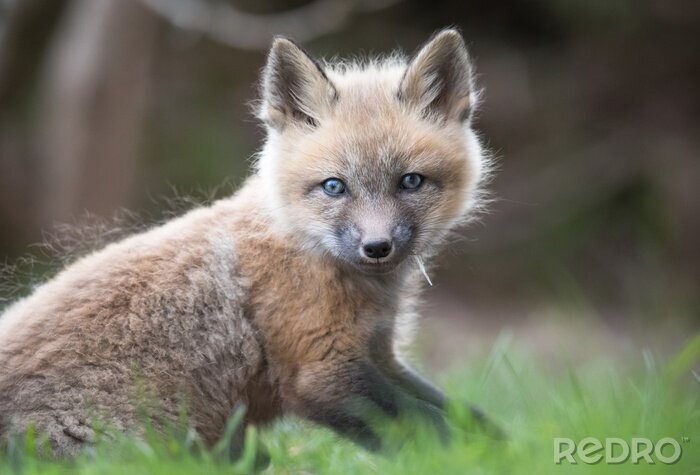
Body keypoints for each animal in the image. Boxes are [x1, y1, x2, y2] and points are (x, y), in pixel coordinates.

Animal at [0, 29, 492, 458]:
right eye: (334, 187)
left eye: (410, 181)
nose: (377, 246)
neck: (304, 246)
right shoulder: (320, 370)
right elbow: (431, 428)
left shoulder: (379, 353)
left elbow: (465, 414)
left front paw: (500, 443)